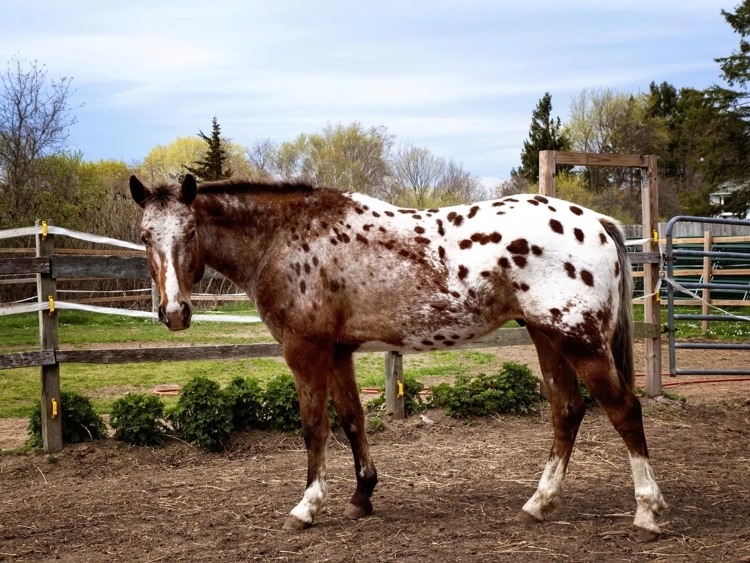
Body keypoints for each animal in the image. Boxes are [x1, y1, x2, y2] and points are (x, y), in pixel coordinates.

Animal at [130, 173, 666, 542]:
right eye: (145, 235)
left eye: (190, 232)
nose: (174, 312)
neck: (283, 237)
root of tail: (595, 221)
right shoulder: (338, 353)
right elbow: (352, 421)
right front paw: (362, 496)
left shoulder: (305, 351)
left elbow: (314, 427)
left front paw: (307, 507)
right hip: (546, 336)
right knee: (567, 411)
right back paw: (539, 503)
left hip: (578, 340)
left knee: (623, 409)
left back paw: (646, 512)